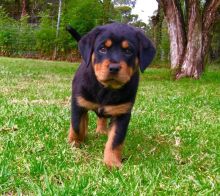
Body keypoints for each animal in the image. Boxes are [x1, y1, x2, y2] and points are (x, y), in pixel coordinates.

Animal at [68, 22, 156, 167]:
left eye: (128, 51)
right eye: (102, 49)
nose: (114, 68)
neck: (106, 89)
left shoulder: (122, 113)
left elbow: (115, 140)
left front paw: (112, 162)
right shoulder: (78, 103)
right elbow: (76, 126)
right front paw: (75, 144)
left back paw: (102, 130)